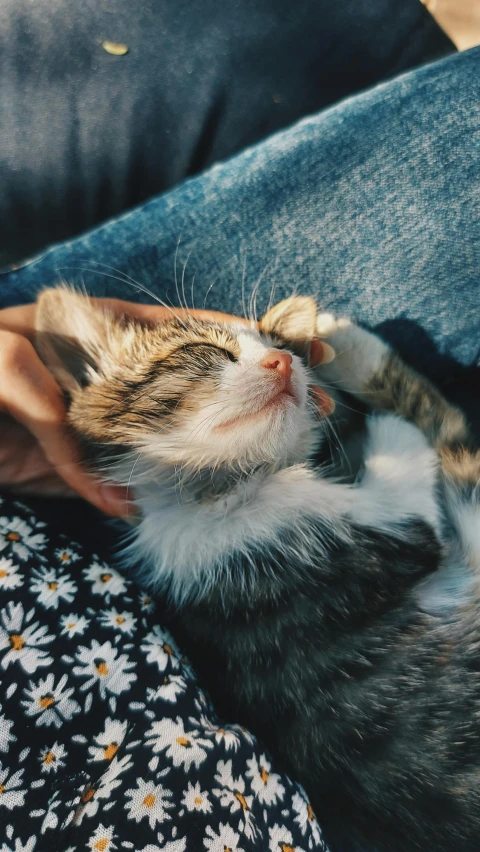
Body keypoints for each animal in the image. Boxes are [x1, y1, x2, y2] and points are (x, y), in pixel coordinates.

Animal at [34, 288, 480, 852]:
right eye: (203, 350)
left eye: (277, 347)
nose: (285, 360)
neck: (222, 492)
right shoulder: (383, 534)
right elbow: (418, 442)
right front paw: (355, 371)